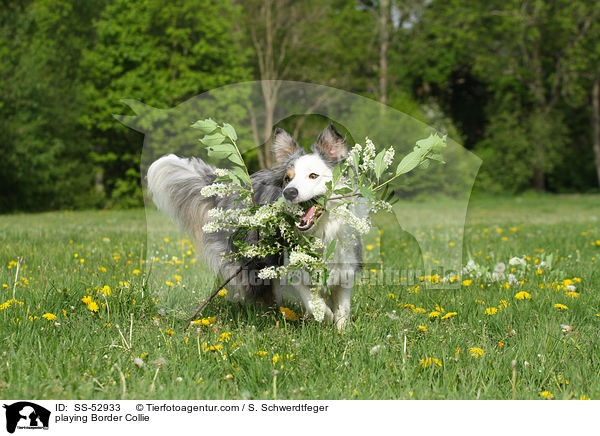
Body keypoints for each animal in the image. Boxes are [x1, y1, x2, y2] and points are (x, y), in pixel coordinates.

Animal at [149, 122, 366, 328]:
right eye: (287, 179)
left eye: (313, 176)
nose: (289, 192)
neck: (321, 231)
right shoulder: (290, 266)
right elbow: (314, 302)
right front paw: (325, 317)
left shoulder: (345, 265)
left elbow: (343, 307)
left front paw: (341, 330)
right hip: (254, 262)